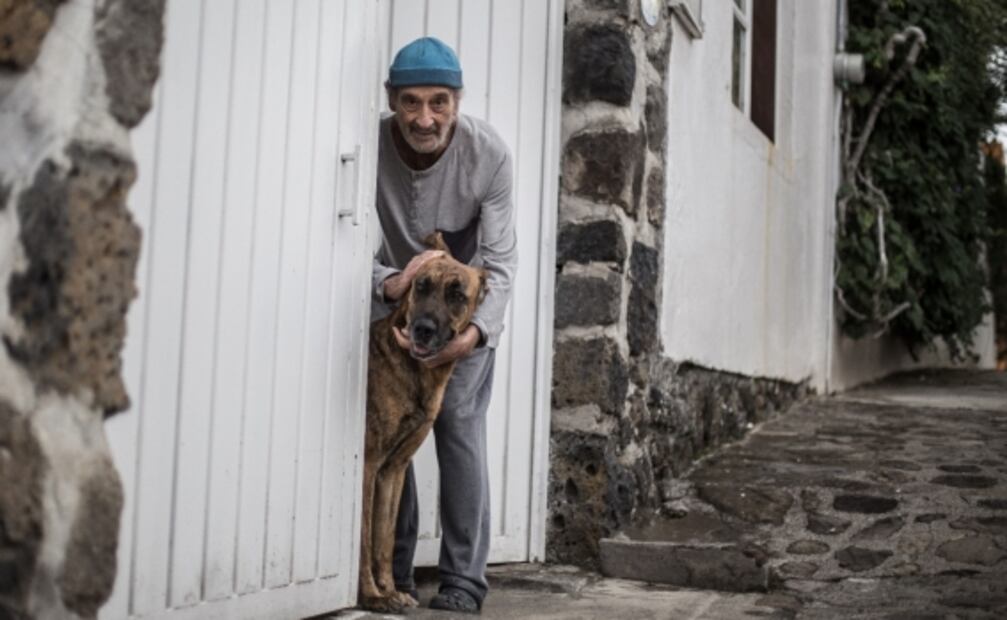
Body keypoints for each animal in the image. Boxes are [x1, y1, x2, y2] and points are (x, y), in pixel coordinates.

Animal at [358, 234, 487, 613]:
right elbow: (364, 537)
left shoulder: (392, 470)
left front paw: (389, 590)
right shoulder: (367, 464)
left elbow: (383, 539)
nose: (423, 330)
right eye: (420, 285)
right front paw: (371, 596)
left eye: (457, 295)